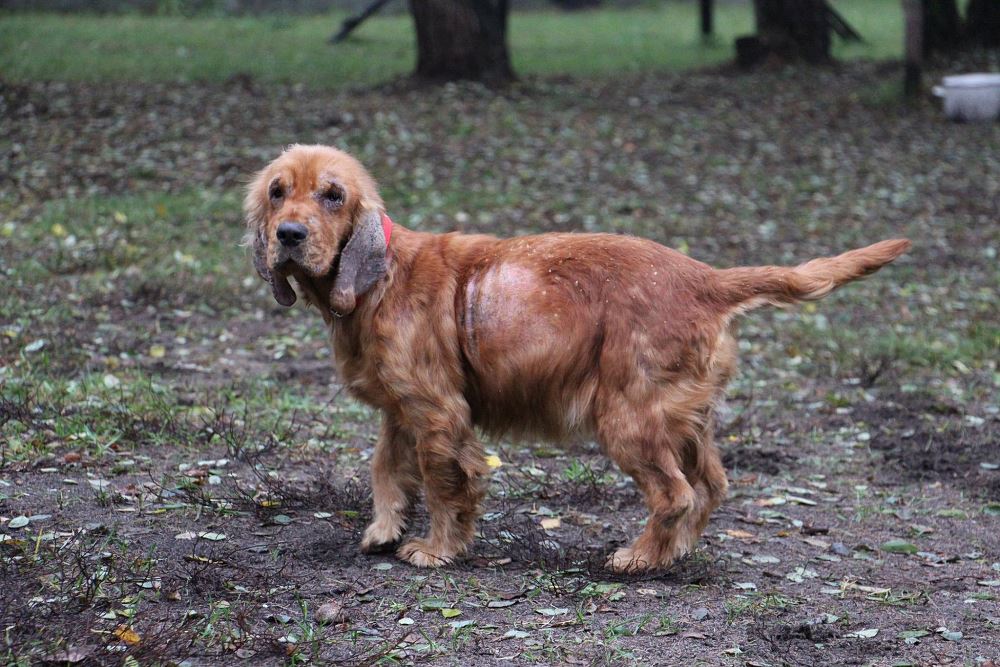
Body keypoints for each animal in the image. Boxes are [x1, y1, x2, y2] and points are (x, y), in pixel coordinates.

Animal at [245, 144, 909, 571]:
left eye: (333, 196)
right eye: (278, 192)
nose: (289, 236)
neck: (380, 279)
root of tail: (706, 279)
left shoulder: (437, 412)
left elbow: (444, 483)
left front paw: (435, 550)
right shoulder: (399, 410)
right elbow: (385, 467)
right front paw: (383, 530)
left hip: (627, 417)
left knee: (676, 493)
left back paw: (640, 558)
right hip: (683, 416)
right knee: (711, 485)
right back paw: (675, 551)